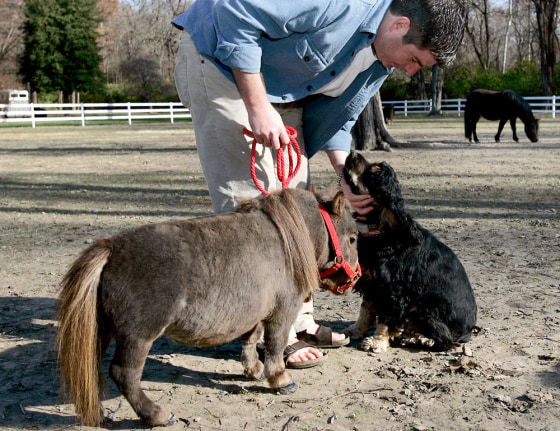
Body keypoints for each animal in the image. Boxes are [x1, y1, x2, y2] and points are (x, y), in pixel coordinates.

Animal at [57, 188, 358, 428]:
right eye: (353, 238)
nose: (355, 278)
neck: (286, 240)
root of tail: (111, 250)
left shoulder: (254, 311)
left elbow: (250, 339)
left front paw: (253, 369)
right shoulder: (282, 311)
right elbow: (275, 345)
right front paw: (279, 379)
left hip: (100, 332)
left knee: (90, 374)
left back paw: (98, 413)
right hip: (138, 337)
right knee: (124, 375)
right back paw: (157, 415)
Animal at [342, 152, 476, 354]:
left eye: (375, 170)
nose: (352, 153)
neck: (382, 230)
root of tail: (468, 331)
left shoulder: (393, 290)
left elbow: (385, 318)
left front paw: (377, 341)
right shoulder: (372, 282)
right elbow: (365, 309)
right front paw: (356, 330)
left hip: (426, 309)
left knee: (445, 340)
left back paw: (421, 339)